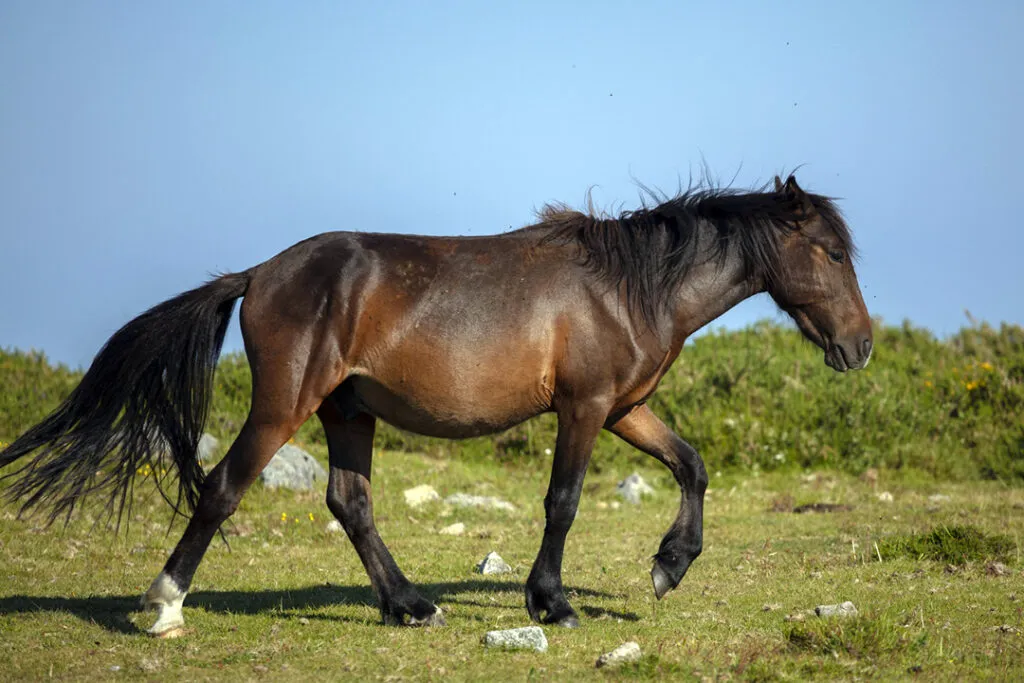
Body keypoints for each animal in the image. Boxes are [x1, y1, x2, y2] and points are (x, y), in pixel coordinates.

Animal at [0, 174, 872, 635]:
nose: (860, 347)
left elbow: (692, 465)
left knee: (349, 501)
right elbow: (563, 502)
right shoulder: (585, 407)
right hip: (285, 405)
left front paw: (668, 565)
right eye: (830, 252)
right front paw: (553, 601)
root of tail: (258, 273)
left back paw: (409, 604)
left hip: (347, 410)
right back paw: (163, 605)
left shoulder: (624, 407)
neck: (627, 287)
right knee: (221, 489)